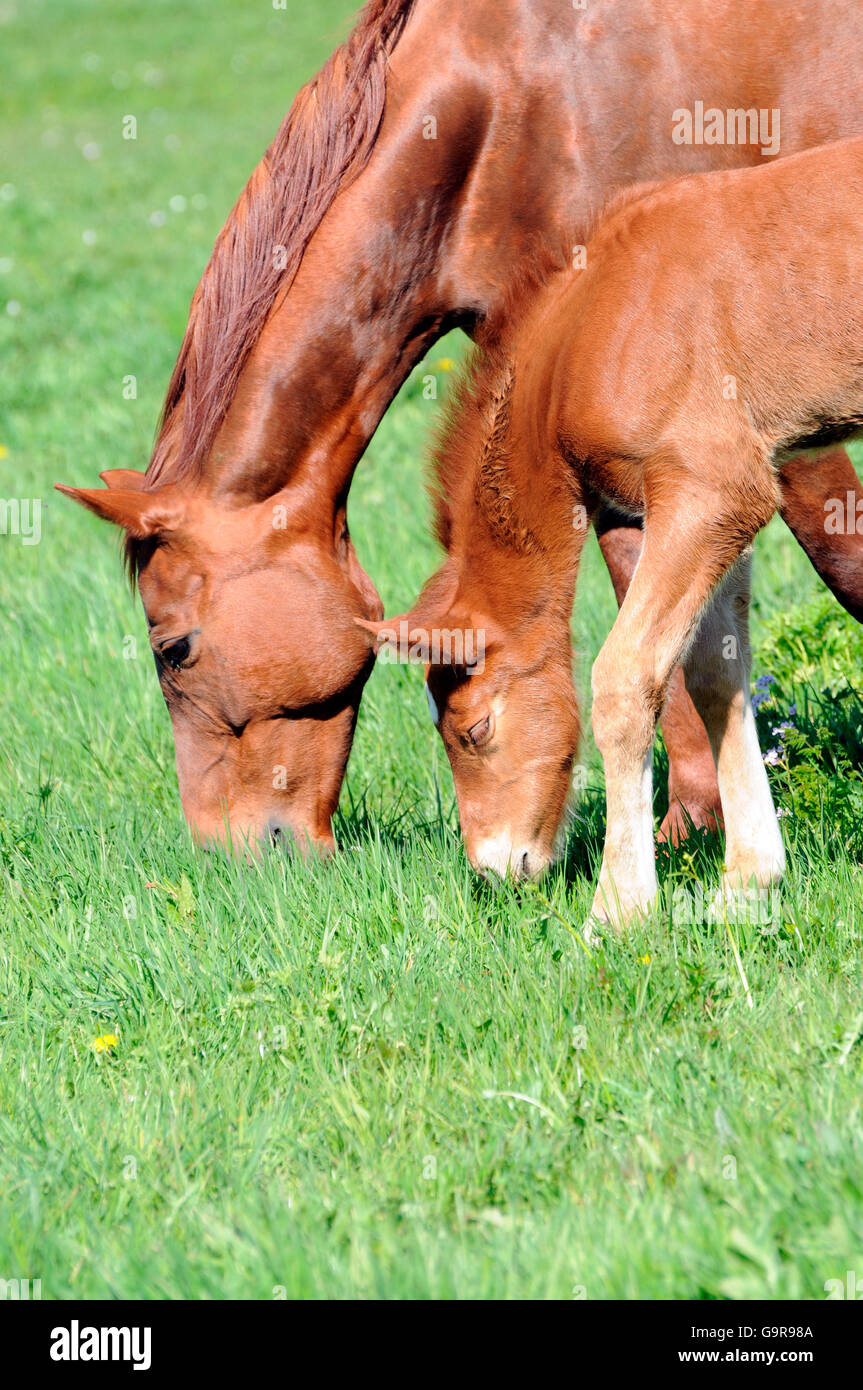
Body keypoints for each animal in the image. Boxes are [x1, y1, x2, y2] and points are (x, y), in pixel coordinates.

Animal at [361, 138, 861, 922]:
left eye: (474, 730)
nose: (495, 870)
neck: (597, 324)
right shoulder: (712, 508)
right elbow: (713, 673)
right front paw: (745, 883)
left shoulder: (712, 489)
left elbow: (624, 680)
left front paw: (618, 908)